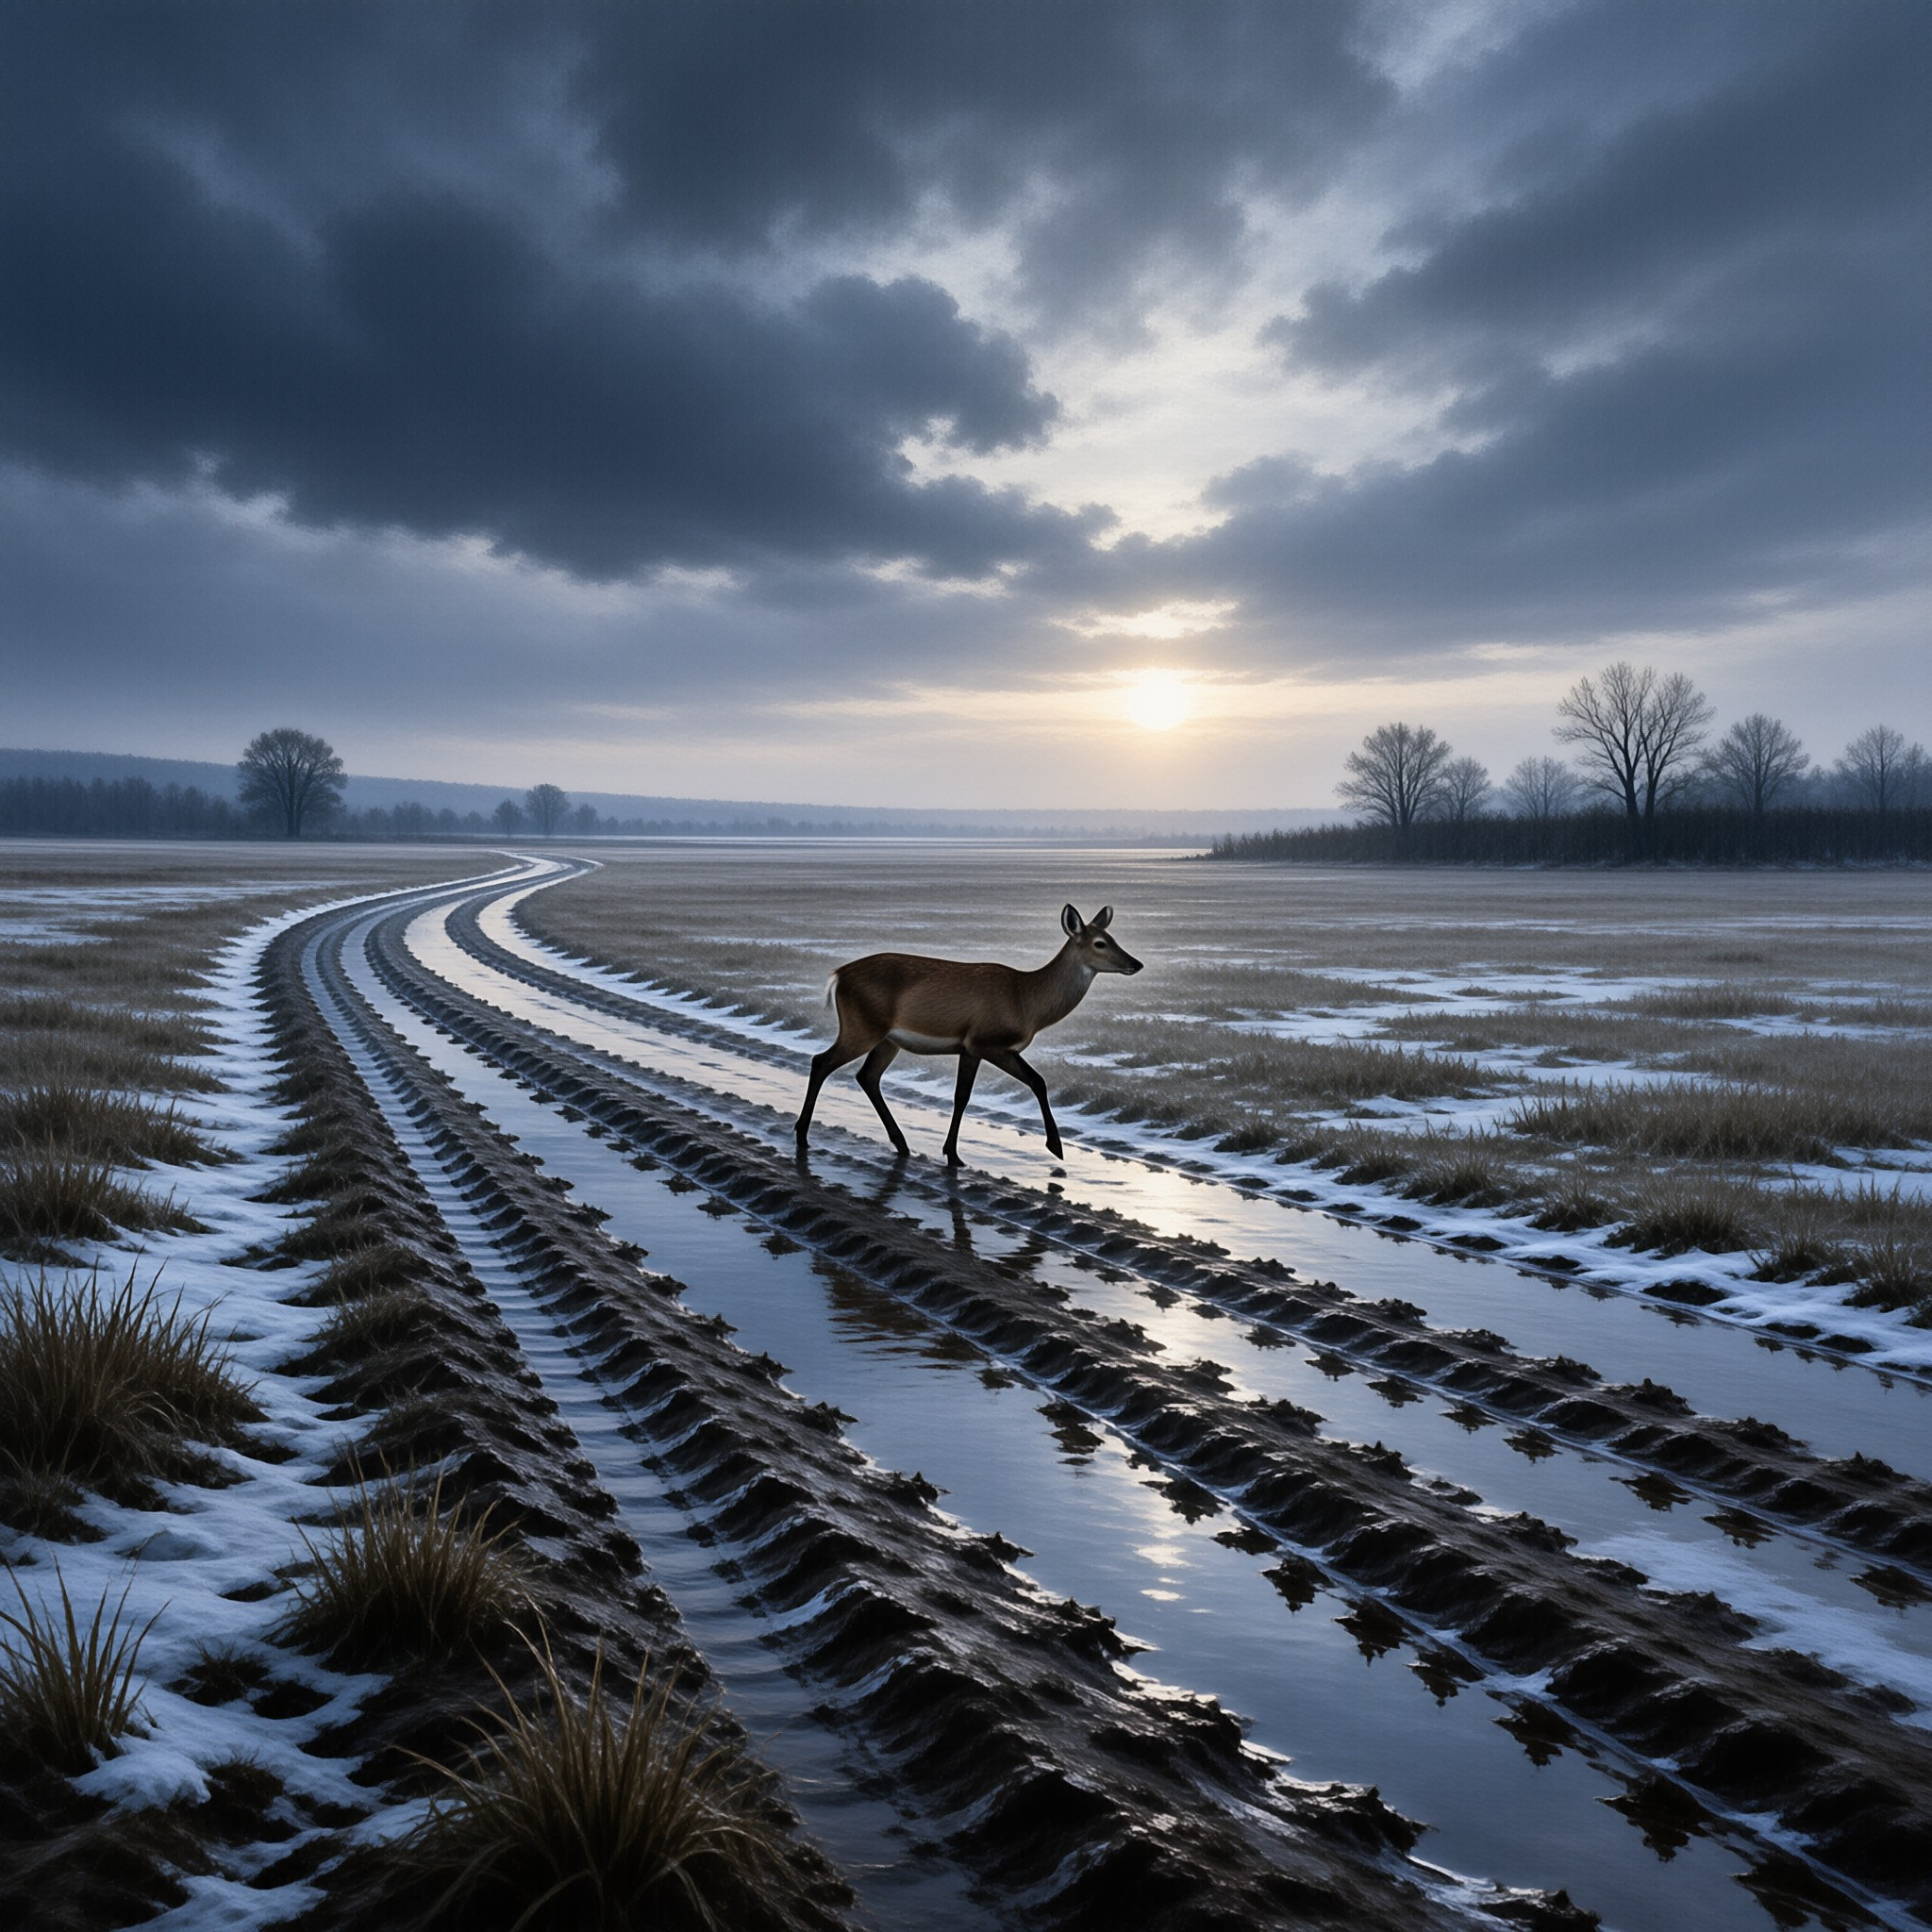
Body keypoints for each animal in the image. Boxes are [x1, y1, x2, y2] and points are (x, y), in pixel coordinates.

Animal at [794, 904, 1143, 1166]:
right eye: (1099, 943)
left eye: (1112, 936)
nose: (1135, 963)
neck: (1027, 1002)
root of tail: (838, 975)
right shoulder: (983, 1041)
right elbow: (991, 1090)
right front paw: (1053, 1147)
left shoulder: (981, 1047)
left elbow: (1004, 1087)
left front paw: (952, 1152)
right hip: (862, 1027)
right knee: (821, 1061)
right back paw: (802, 1133)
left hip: (887, 1040)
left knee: (867, 1076)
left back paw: (901, 1143)